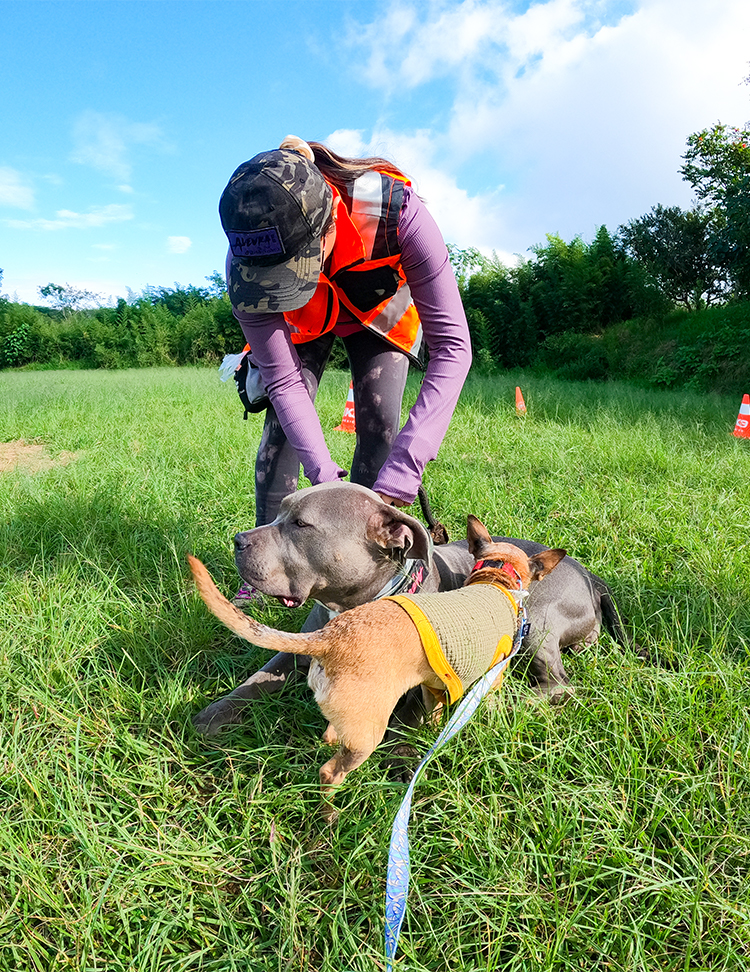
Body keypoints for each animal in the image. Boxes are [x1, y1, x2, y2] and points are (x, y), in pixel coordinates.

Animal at [188, 520, 564, 800]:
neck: (496, 582)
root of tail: (328, 638)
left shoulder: (434, 685)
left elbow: (434, 709)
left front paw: (431, 728)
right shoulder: (490, 677)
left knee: (332, 735)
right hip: (369, 732)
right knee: (330, 770)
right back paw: (329, 812)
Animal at [194, 482, 636, 740]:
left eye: (301, 525)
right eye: (279, 511)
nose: (238, 539)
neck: (353, 605)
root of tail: (590, 575)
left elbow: (405, 719)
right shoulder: (296, 648)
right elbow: (255, 679)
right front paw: (214, 714)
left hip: (537, 622)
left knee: (558, 685)